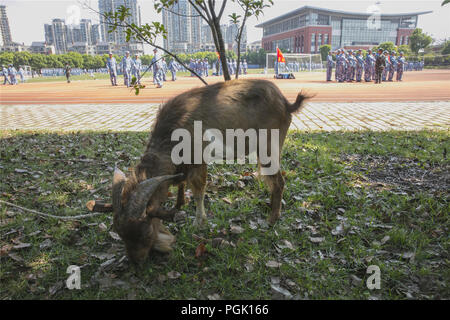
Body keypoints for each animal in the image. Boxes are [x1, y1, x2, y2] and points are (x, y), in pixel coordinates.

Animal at [111, 79, 310, 264]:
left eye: (144, 233)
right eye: (121, 235)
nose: (136, 261)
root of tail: (285, 102)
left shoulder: (199, 159)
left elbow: (199, 190)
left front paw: (199, 222)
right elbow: (181, 182)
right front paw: (179, 204)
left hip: (269, 147)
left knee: (279, 182)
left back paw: (272, 219)